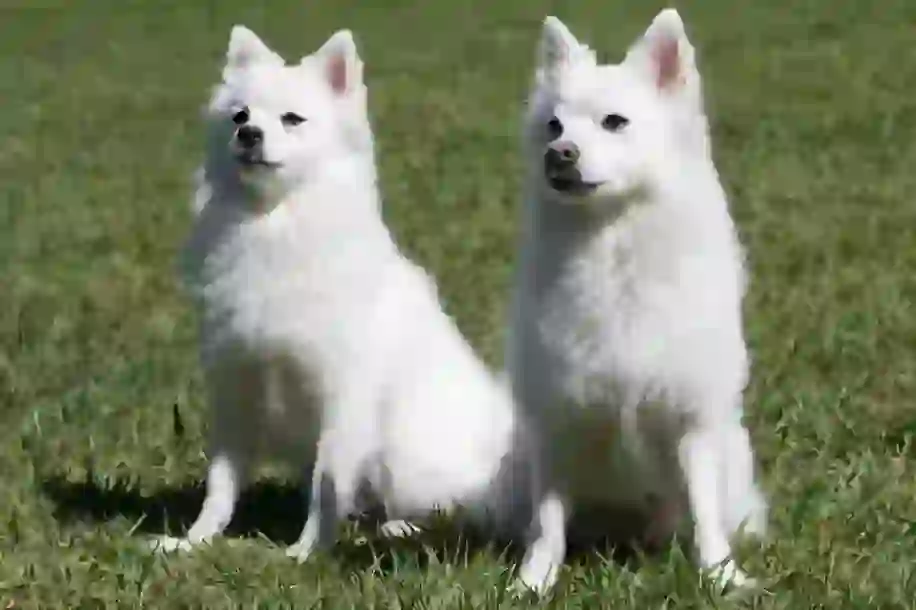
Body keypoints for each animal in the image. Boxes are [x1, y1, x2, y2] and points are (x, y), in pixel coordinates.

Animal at [156, 26, 528, 560]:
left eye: (292, 119)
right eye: (240, 115)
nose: (248, 135)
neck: (273, 222)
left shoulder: (342, 398)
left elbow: (325, 484)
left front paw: (304, 553)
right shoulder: (235, 386)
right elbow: (221, 483)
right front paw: (194, 541)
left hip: (409, 458)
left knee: (458, 512)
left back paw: (399, 529)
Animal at [504, 7, 768, 592]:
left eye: (614, 122)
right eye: (554, 126)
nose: (559, 155)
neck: (611, 247)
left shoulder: (689, 417)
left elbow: (705, 511)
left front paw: (720, 576)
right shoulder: (558, 418)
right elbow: (548, 520)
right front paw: (534, 581)